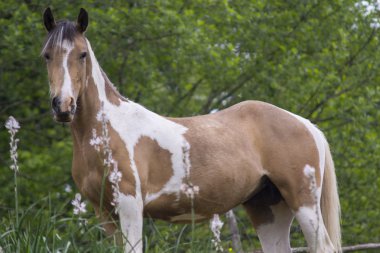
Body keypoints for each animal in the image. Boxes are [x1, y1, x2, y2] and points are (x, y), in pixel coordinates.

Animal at [40, 7, 342, 253]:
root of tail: (306, 125)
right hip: (267, 209)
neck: (106, 131)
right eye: (47, 55)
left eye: (82, 54)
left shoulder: (129, 206)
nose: (63, 105)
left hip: (304, 203)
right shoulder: (104, 213)